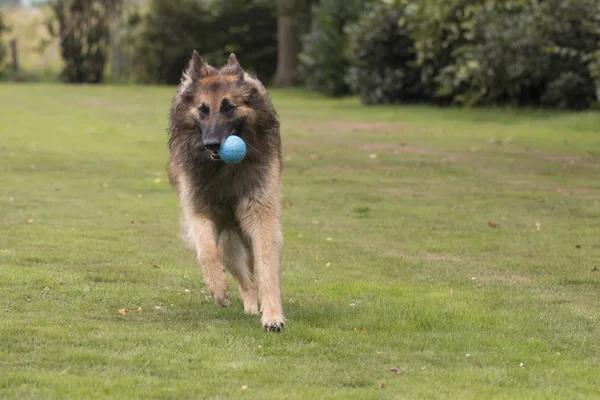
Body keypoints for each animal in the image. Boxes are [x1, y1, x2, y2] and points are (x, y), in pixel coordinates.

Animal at [165, 50, 284, 332]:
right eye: (202, 109)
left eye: (228, 107)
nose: (211, 144)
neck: (224, 170)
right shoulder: (198, 212)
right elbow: (208, 251)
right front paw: (218, 289)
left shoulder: (261, 216)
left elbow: (267, 266)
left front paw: (273, 316)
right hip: (230, 244)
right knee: (244, 280)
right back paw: (249, 305)